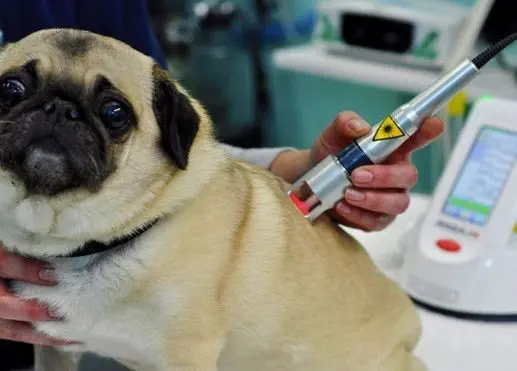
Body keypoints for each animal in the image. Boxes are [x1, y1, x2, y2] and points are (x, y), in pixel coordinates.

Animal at [0, 29, 424, 371]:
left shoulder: (187, 355)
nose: (58, 108)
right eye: (11, 90)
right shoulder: (56, 349)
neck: (86, 245)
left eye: (114, 113)